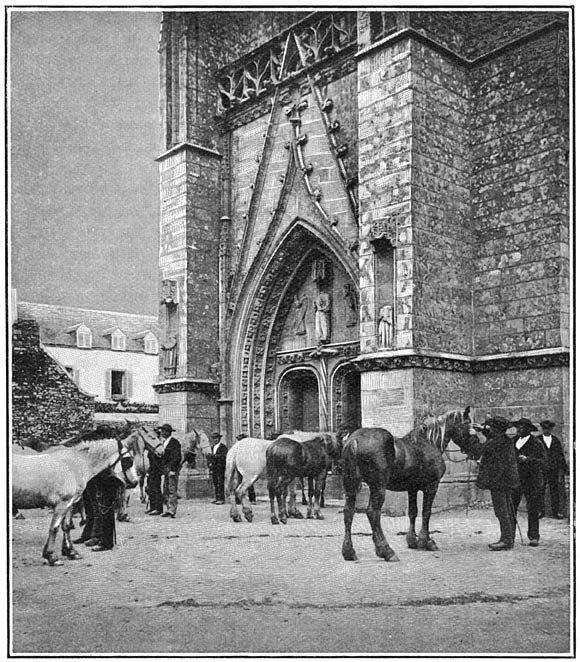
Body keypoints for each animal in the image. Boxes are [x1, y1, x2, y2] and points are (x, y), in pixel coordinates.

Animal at [12, 434, 140, 568]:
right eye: (128, 461)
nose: (135, 482)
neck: (73, 466)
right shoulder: (62, 504)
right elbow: (54, 528)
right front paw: (51, 557)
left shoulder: (69, 504)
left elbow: (66, 526)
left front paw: (71, 552)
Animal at [340, 408, 476, 564]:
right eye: (467, 423)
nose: (475, 448)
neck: (428, 443)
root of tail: (354, 440)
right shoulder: (432, 486)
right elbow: (426, 513)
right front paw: (426, 541)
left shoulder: (412, 489)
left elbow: (413, 512)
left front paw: (412, 541)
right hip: (378, 487)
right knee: (373, 513)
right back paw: (386, 551)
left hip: (351, 486)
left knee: (348, 512)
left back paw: (349, 552)